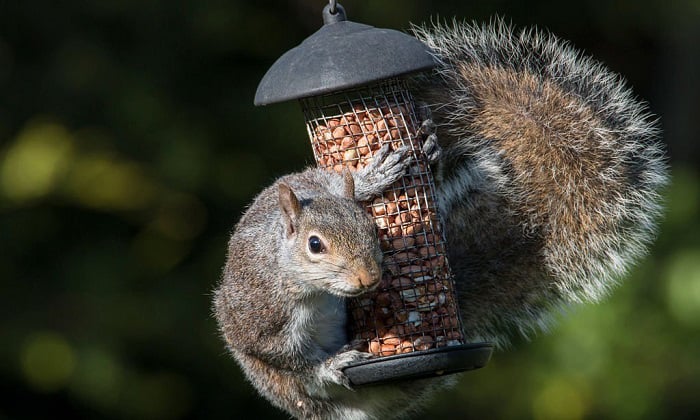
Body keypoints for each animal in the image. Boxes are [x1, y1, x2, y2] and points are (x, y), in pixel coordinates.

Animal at [212, 18, 668, 420]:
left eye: (370, 228)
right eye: (314, 245)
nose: (368, 279)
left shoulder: (308, 182)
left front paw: (376, 175)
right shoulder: (262, 317)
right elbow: (291, 361)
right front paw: (330, 365)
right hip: (286, 389)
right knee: (305, 385)